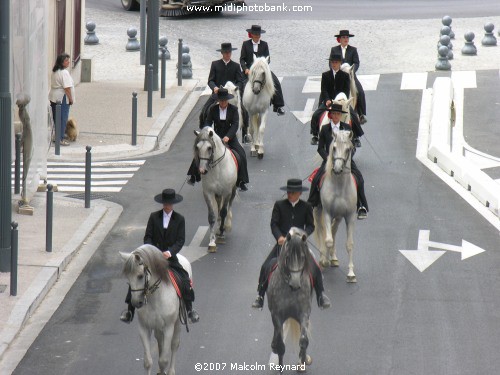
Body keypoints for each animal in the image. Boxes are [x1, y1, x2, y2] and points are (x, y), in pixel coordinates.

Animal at [120, 245, 192, 374]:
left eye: (140, 276)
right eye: (128, 277)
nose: (136, 302)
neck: (155, 297)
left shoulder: (169, 328)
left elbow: (163, 360)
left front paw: (164, 370)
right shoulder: (144, 327)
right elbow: (148, 361)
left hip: (178, 322)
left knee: (174, 344)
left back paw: (171, 371)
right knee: (160, 341)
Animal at [268, 228, 314, 372]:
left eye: (303, 257)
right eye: (288, 257)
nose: (295, 284)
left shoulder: (304, 313)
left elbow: (304, 340)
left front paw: (302, 363)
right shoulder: (277, 316)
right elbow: (280, 346)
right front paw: (280, 367)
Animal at [312, 131, 360, 282]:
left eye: (348, 149)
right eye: (333, 148)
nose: (338, 169)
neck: (339, 185)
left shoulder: (350, 216)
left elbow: (349, 244)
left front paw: (351, 273)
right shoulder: (327, 213)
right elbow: (327, 239)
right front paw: (324, 261)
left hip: (339, 216)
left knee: (334, 230)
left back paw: (332, 257)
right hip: (319, 211)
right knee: (324, 231)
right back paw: (325, 257)